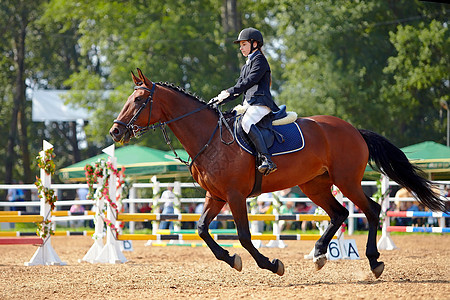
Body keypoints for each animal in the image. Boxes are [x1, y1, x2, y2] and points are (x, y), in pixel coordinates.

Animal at [109, 68, 446, 278]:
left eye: (139, 100)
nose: (115, 132)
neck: (209, 137)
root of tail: (353, 129)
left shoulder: (234, 196)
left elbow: (244, 236)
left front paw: (270, 264)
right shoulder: (215, 195)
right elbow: (203, 230)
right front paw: (231, 259)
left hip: (346, 180)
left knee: (371, 210)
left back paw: (374, 261)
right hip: (315, 185)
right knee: (339, 214)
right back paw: (320, 253)